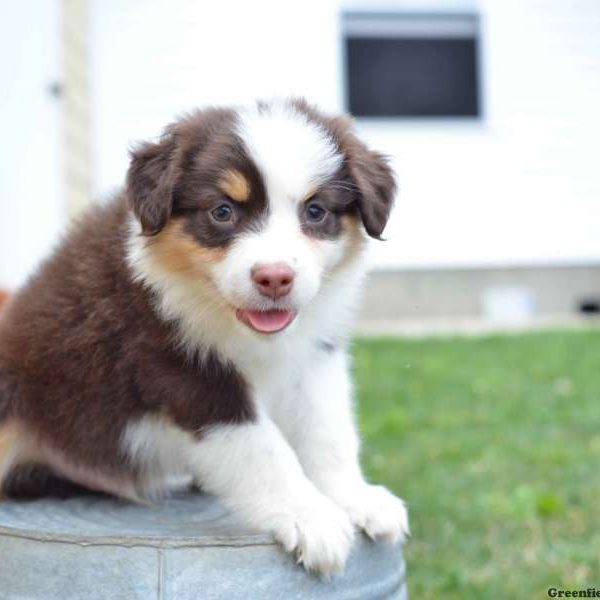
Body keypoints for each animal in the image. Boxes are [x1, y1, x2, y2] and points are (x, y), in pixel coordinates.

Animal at [0, 101, 408, 576]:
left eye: (315, 211)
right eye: (222, 211)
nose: (274, 278)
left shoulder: (312, 357)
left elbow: (328, 430)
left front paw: (355, 497)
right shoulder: (181, 370)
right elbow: (262, 448)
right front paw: (311, 518)